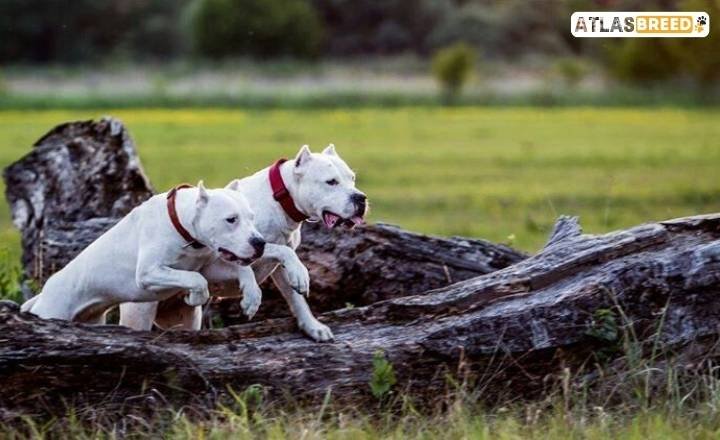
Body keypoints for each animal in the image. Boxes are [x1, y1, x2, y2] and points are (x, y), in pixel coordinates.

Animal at [21, 182, 266, 324]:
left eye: (252, 217)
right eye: (231, 219)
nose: (260, 242)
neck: (183, 227)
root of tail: (43, 295)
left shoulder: (209, 267)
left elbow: (242, 272)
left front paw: (252, 299)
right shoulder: (149, 273)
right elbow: (195, 279)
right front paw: (197, 296)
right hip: (55, 311)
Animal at [119, 144, 368, 340]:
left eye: (352, 178)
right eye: (331, 182)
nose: (361, 198)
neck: (280, 200)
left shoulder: (280, 268)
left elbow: (296, 297)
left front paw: (312, 326)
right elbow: (277, 253)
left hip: (185, 317)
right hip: (140, 310)